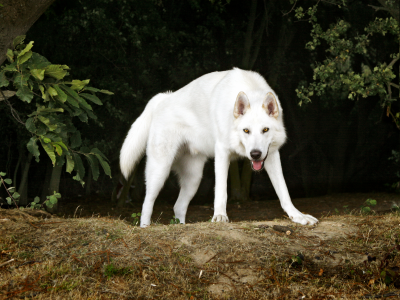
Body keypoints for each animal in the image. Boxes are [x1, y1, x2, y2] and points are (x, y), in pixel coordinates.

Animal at [119, 68, 318, 227]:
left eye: (265, 130)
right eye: (246, 130)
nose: (255, 154)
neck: (250, 90)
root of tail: (163, 98)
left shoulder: (271, 154)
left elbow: (283, 191)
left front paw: (298, 216)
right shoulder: (222, 152)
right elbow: (221, 191)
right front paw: (220, 217)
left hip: (193, 179)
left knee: (178, 207)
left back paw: (181, 226)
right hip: (160, 171)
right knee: (147, 204)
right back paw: (145, 227)